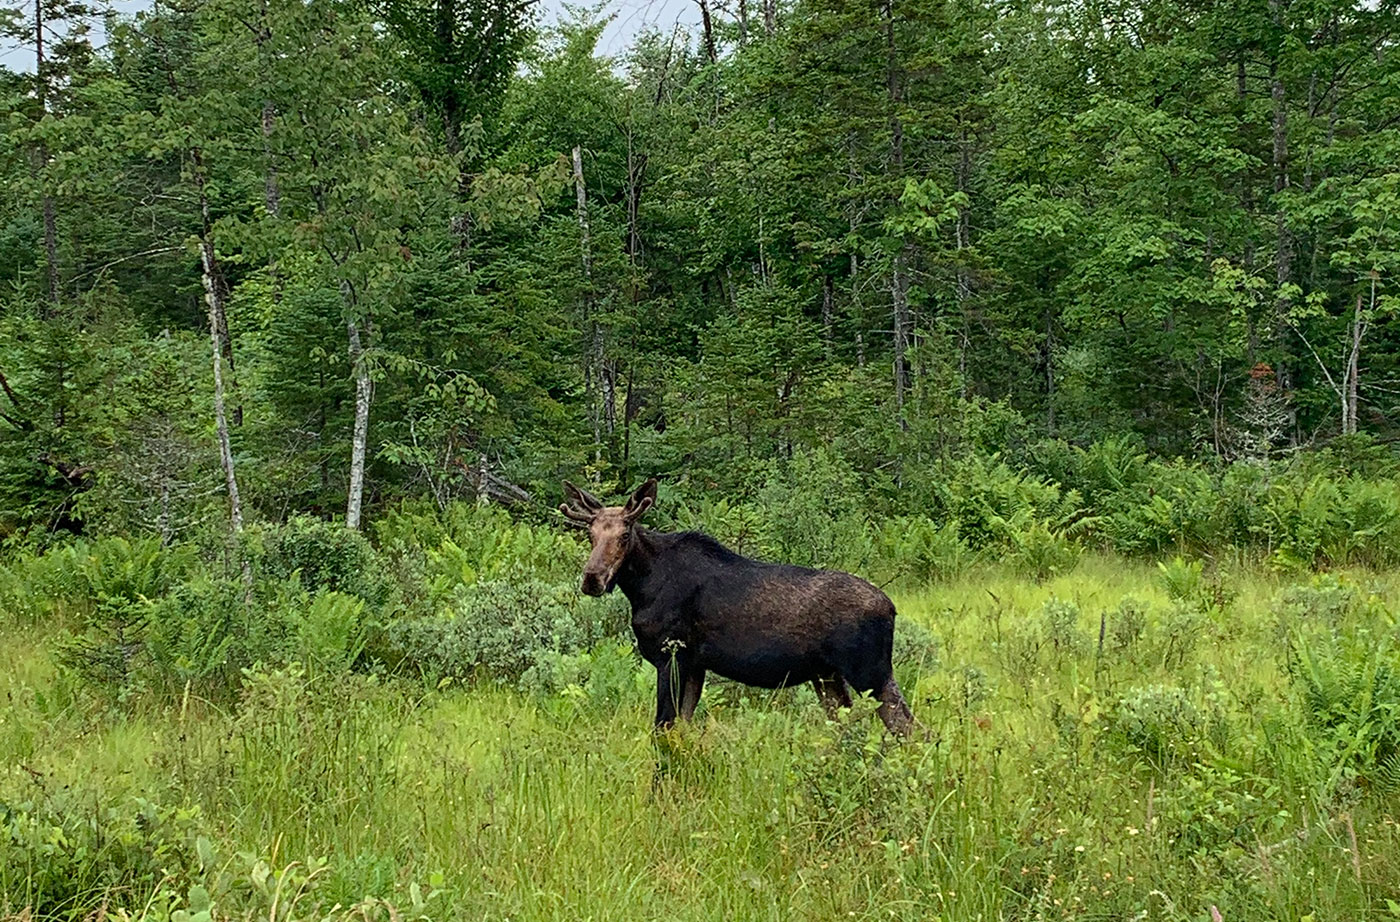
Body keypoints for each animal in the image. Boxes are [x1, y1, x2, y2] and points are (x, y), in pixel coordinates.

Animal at [557, 475, 918, 733]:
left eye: (624, 534)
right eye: (590, 534)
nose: (592, 579)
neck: (642, 588)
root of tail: (892, 608)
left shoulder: (672, 655)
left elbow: (662, 730)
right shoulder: (695, 665)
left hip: (870, 671)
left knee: (910, 728)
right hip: (829, 676)